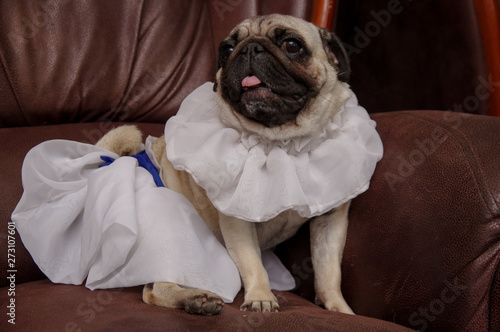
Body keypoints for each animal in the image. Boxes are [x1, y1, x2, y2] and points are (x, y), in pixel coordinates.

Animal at [97, 14, 354, 316]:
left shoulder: (331, 220)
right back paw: (198, 300)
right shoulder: (238, 220)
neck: (282, 142)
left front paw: (339, 309)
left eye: (292, 45)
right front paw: (261, 298)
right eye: (227, 50)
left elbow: (329, 271)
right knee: (155, 290)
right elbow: (253, 263)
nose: (250, 49)